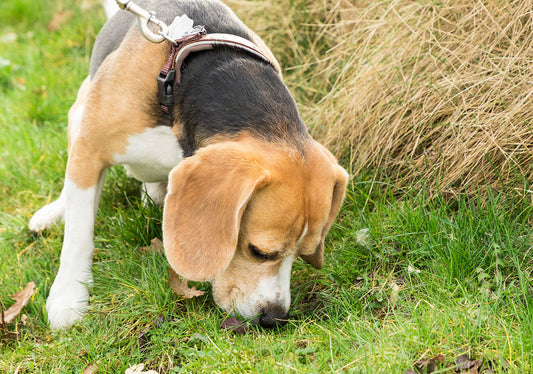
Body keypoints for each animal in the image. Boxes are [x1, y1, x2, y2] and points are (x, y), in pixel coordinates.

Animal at [29, 0, 348, 328]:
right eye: (258, 252)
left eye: (304, 253)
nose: (275, 318)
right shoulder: (90, 149)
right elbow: (78, 236)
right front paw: (68, 297)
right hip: (79, 116)